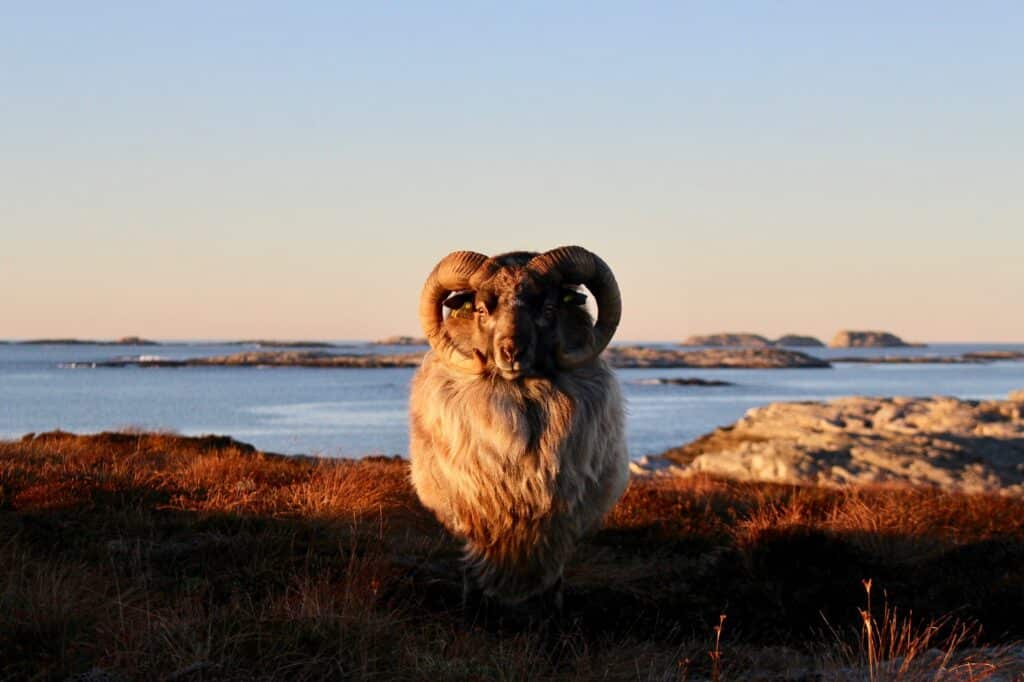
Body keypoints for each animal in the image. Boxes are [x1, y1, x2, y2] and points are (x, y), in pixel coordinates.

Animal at [405, 245, 626, 606]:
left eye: (549, 307)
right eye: (481, 309)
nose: (511, 351)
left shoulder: (560, 523)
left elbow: (555, 575)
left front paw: (553, 609)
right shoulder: (473, 517)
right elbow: (471, 568)